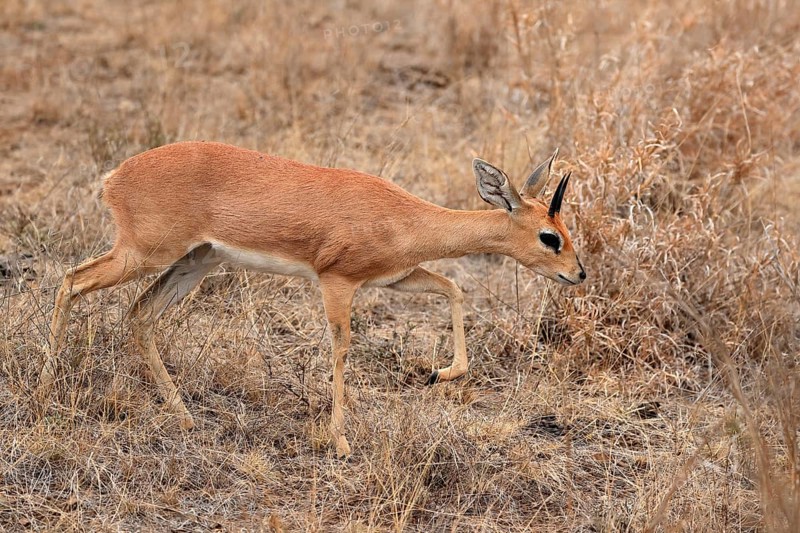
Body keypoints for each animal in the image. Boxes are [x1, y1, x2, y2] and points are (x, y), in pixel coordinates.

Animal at [38, 141, 585, 457]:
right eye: (549, 236)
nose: (577, 274)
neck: (402, 218)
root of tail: (114, 177)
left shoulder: (395, 279)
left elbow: (453, 288)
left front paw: (440, 373)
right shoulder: (336, 282)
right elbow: (341, 347)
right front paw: (341, 442)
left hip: (194, 262)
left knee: (138, 315)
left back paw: (184, 416)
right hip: (144, 255)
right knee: (71, 281)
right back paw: (45, 388)